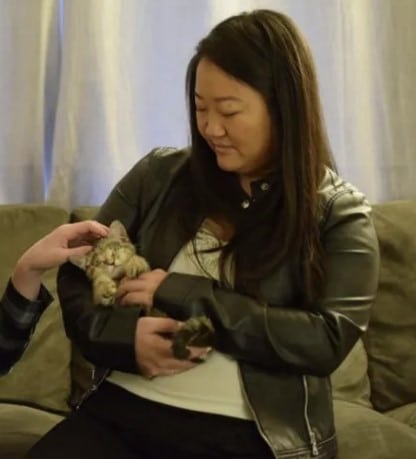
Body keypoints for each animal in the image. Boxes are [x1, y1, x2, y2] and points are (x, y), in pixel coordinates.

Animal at [69, 220, 213, 360]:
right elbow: (100, 283)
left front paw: (135, 263)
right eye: (99, 262)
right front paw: (103, 288)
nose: (110, 262)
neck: (119, 278)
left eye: (114, 249)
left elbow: (137, 260)